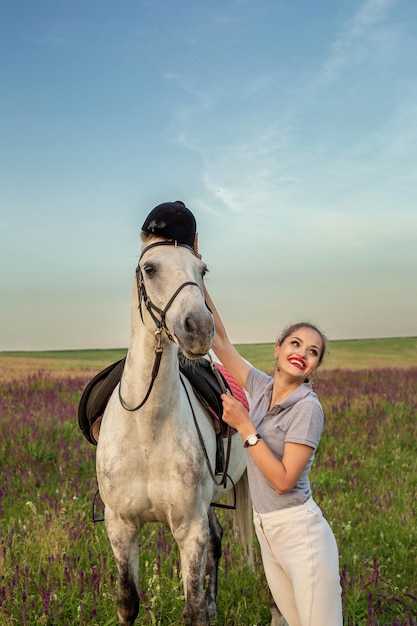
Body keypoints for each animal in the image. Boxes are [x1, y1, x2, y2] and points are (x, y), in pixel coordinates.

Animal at [96, 236, 255, 620]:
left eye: (202, 270)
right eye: (150, 268)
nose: (198, 327)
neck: (147, 429)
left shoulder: (189, 527)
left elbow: (193, 610)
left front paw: (203, 608)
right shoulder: (121, 526)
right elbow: (127, 601)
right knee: (217, 537)